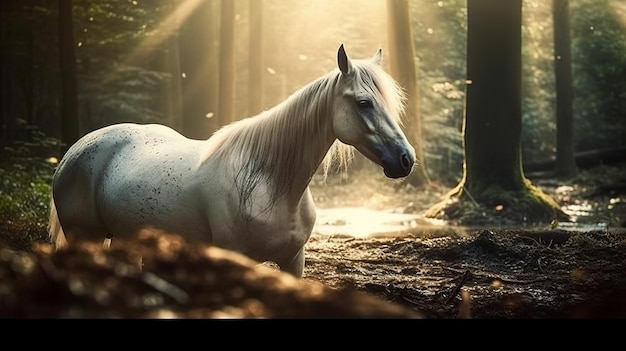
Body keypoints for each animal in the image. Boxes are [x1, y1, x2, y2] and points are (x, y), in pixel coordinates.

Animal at [50, 45, 414, 278]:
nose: (405, 159)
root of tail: (74, 151)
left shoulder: (293, 262)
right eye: (364, 103)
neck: (271, 184)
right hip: (85, 236)